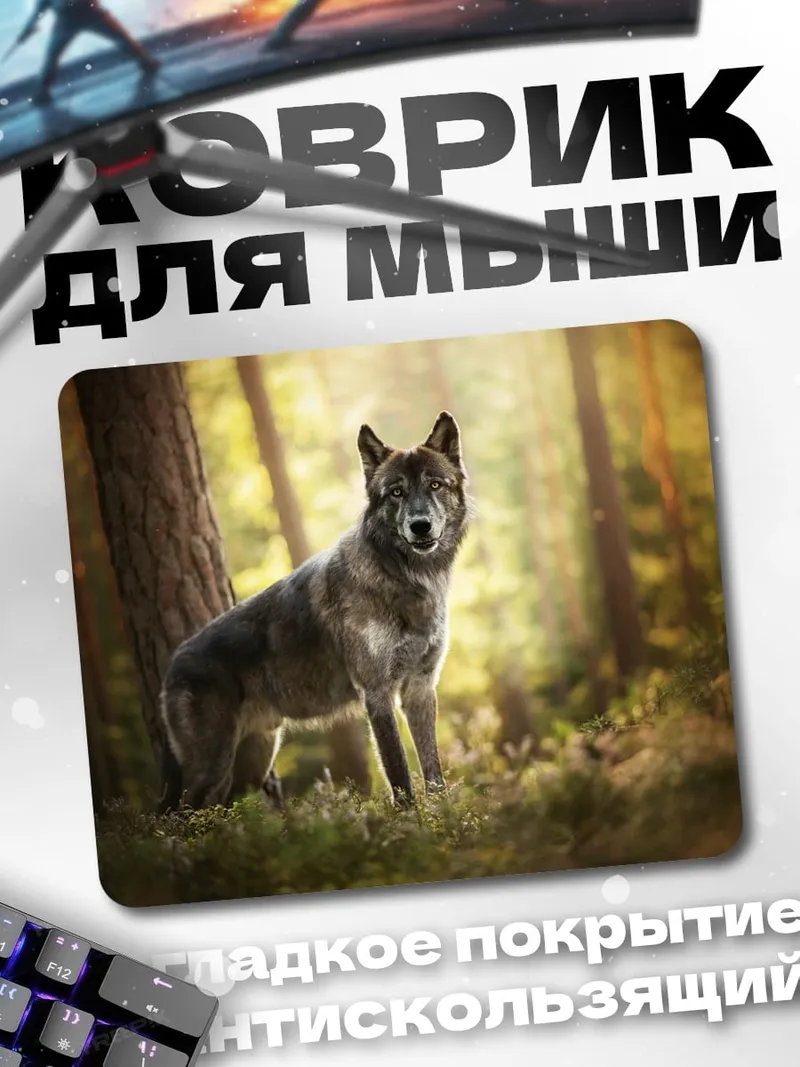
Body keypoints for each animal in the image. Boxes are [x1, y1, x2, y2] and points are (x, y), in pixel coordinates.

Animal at [158, 411, 472, 813]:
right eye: (396, 492)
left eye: (435, 484)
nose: (420, 526)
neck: (405, 578)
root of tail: (171, 663)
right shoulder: (377, 695)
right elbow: (400, 776)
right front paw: (413, 825)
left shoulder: (419, 690)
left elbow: (433, 773)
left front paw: (445, 820)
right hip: (212, 768)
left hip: (249, 767)